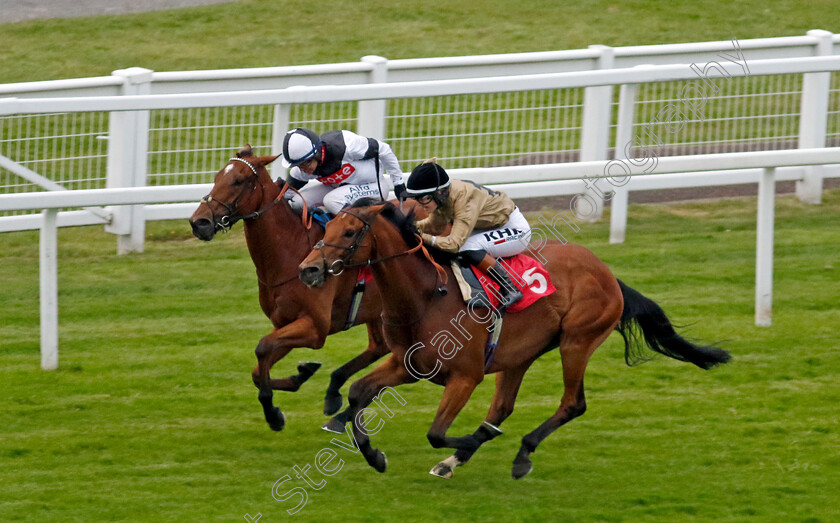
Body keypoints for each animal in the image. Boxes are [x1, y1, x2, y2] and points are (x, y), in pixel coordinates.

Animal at [187, 145, 416, 432]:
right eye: (217, 176)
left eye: (238, 180)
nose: (199, 222)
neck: (290, 252)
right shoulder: (284, 323)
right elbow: (258, 369)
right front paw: (300, 376)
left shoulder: (314, 327)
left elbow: (262, 347)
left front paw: (273, 414)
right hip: (377, 308)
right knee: (380, 347)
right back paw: (336, 402)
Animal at [298, 203, 732, 482]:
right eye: (326, 228)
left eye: (349, 232)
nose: (309, 269)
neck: (424, 296)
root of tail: (608, 274)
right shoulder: (407, 364)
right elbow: (358, 392)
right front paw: (374, 455)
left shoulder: (466, 376)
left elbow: (436, 432)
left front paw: (464, 441)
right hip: (522, 354)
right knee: (503, 407)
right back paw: (460, 458)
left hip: (577, 341)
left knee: (572, 403)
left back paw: (518, 454)